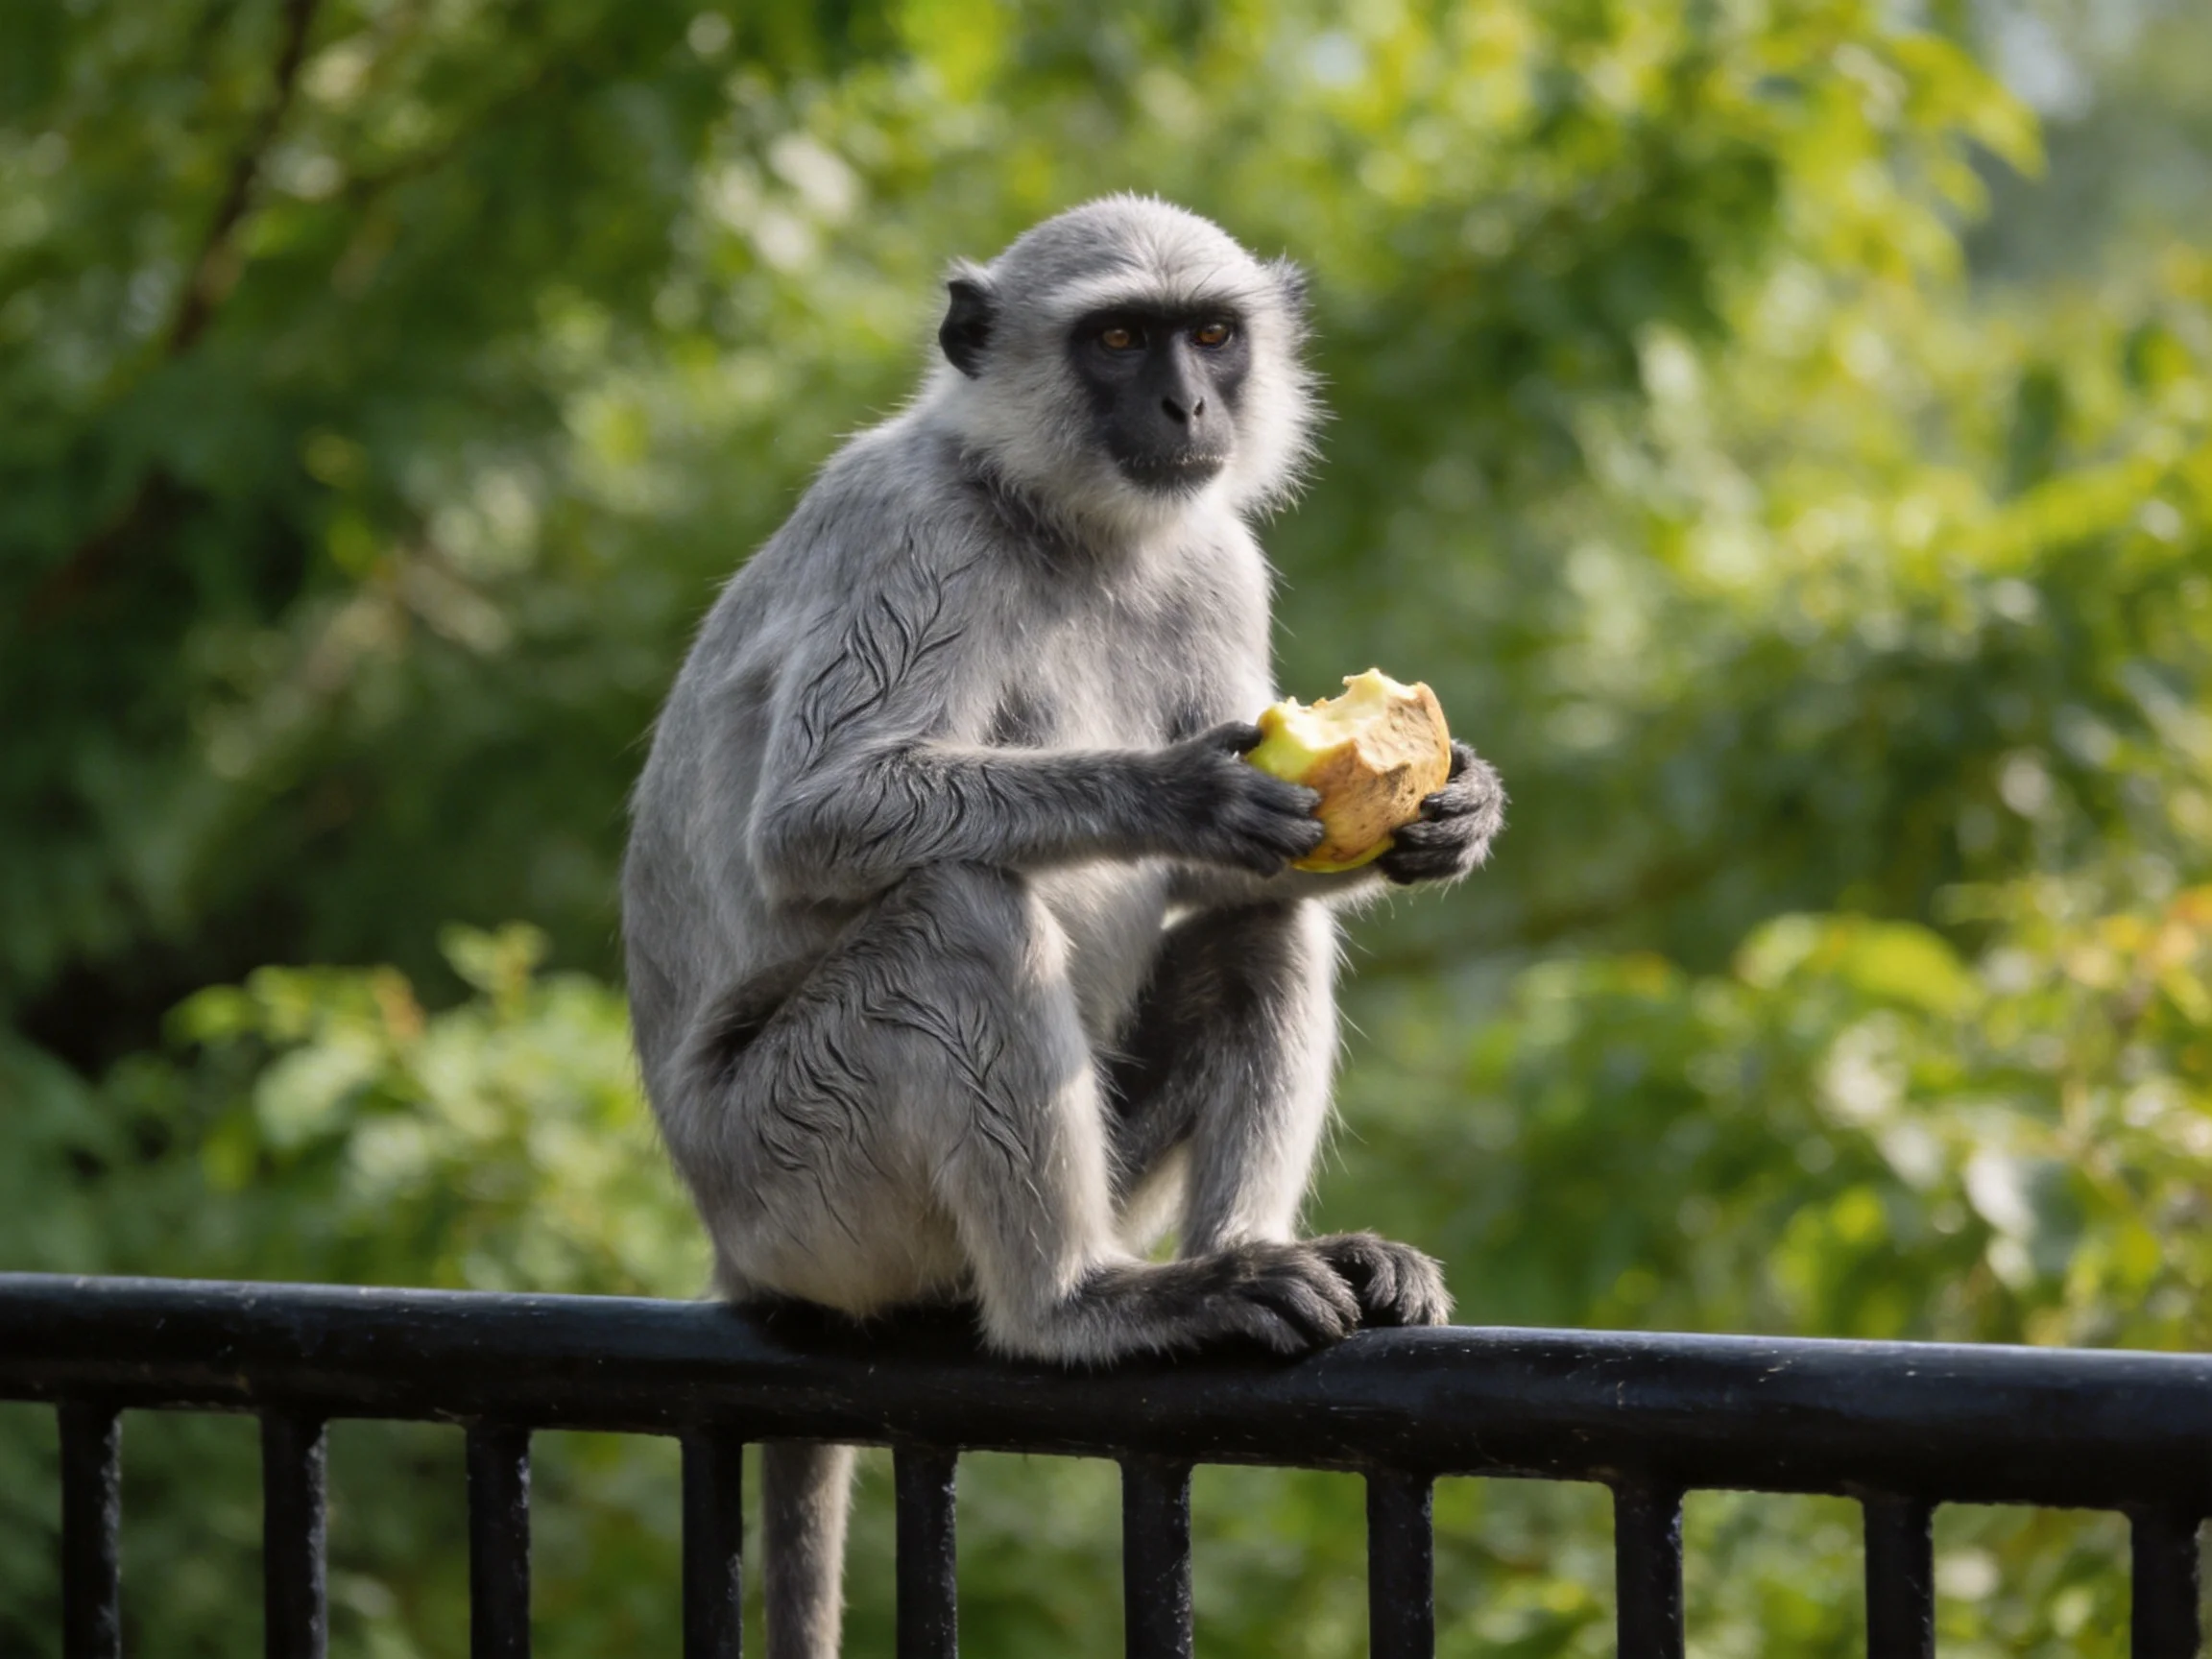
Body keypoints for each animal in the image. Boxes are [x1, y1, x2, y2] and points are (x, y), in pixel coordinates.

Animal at [621, 196, 1504, 1657]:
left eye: (1211, 334)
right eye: (1118, 339)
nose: (1187, 401)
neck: (1067, 524)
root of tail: (742, 1254)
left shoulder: (1214, 557)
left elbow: (1250, 880)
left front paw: (1455, 813)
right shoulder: (912, 533)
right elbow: (811, 822)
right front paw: (1184, 794)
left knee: (1261, 925)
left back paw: (1248, 1254)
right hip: (795, 1177)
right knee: (958, 911)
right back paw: (1081, 1306)